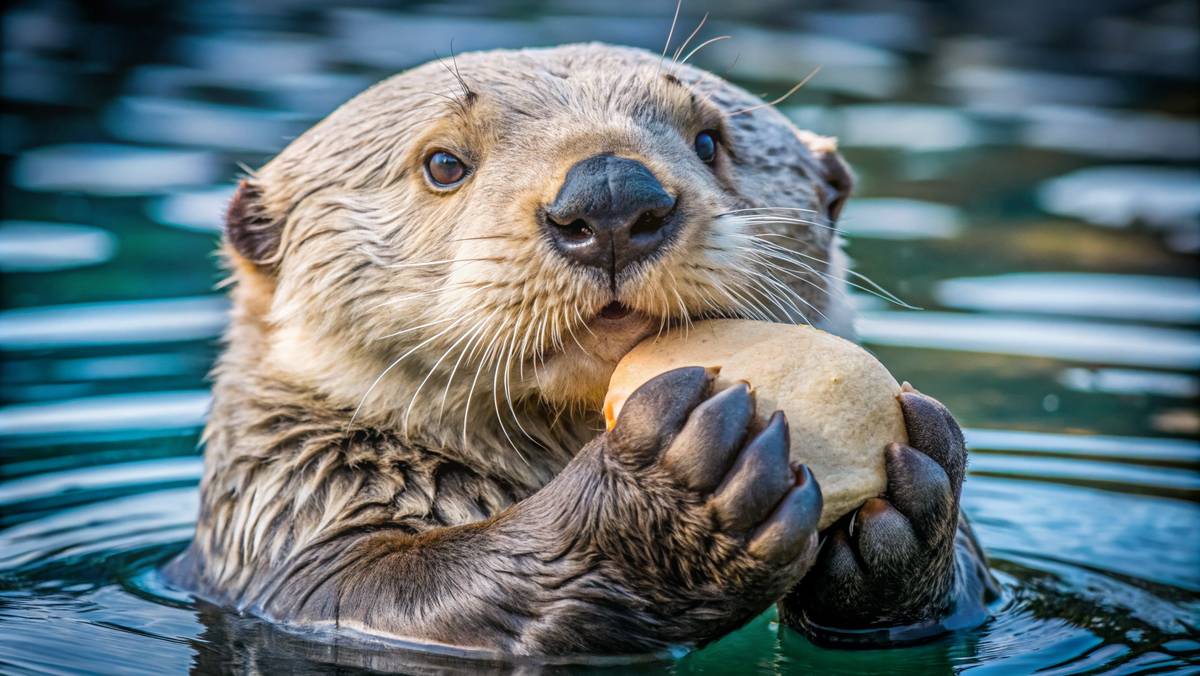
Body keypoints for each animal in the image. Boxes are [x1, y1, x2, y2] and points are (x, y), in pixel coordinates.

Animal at [166, 41, 993, 657]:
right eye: (442, 164)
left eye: (709, 140)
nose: (611, 192)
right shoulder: (300, 519)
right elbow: (388, 588)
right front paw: (680, 479)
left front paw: (913, 498)